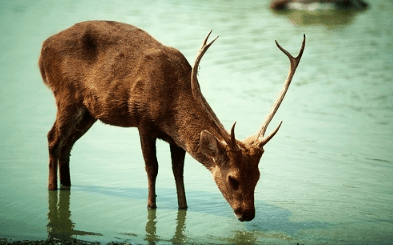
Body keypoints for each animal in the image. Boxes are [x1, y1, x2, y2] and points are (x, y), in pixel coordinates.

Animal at [39, 20, 304, 221]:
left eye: (258, 177)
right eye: (233, 179)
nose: (247, 214)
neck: (170, 106)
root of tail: (43, 49)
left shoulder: (176, 140)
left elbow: (178, 171)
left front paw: (183, 207)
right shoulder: (143, 121)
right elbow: (152, 167)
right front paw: (151, 206)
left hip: (89, 112)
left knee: (67, 143)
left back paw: (67, 184)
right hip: (66, 94)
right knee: (53, 138)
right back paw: (51, 188)